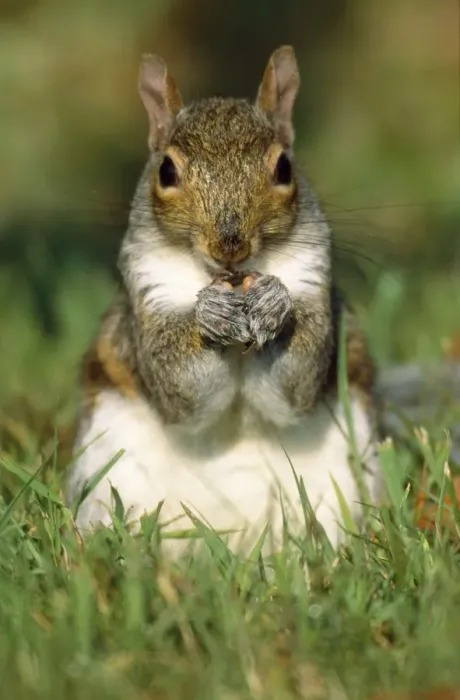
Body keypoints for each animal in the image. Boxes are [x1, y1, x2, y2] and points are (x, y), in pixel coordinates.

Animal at [66, 45, 385, 555]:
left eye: (284, 167)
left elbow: (296, 384)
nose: (230, 246)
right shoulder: (146, 297)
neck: (231, 281)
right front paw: (208, 315)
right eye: (166, 170)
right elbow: (180, 389)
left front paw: (275, 305)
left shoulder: (314, 282)